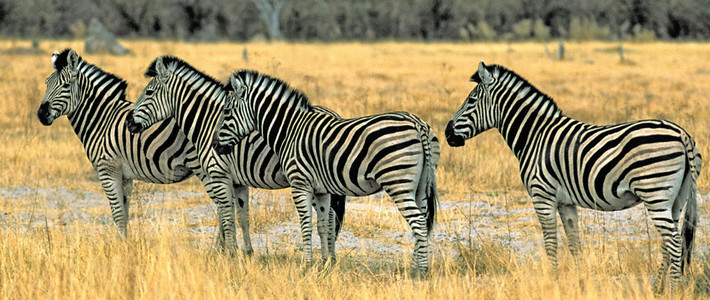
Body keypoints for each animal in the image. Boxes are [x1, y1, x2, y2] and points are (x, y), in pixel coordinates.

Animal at [126, 55, 350, 255]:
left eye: (148, 92)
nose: (128, 122)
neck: (207, 122)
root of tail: (334, 114)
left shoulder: (217, 175)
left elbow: (226, 215)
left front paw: (229, 254)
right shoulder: (238, 181)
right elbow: (242, 216)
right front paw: (247, 253)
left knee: (330, 217)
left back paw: (329, 258)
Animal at [214, 69, 442, 272]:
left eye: (226, 112)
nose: (215, 146)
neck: (289, 130)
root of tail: (418, 123)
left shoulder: (300, 184)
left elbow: (306, 224)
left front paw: (306, 265)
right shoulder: (321, 190)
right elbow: (323, 225)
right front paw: (325, 264)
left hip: (398, 183)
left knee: (418, 222)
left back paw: (420, 272)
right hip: (420, 186)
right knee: (423, 219)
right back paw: (415, 267)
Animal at [448, 61, 704, 290]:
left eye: (471, 100)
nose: (447, 132)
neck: (534, 135)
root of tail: (682, 134)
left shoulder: (542, 196)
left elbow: (551, 244)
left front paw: (553, 283)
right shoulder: (566, 202)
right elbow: (574, 244)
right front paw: (581, 283)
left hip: (655, 193)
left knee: (674, 242)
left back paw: (672, 289)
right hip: (676, 199)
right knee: (669, 242)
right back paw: (658, 287)